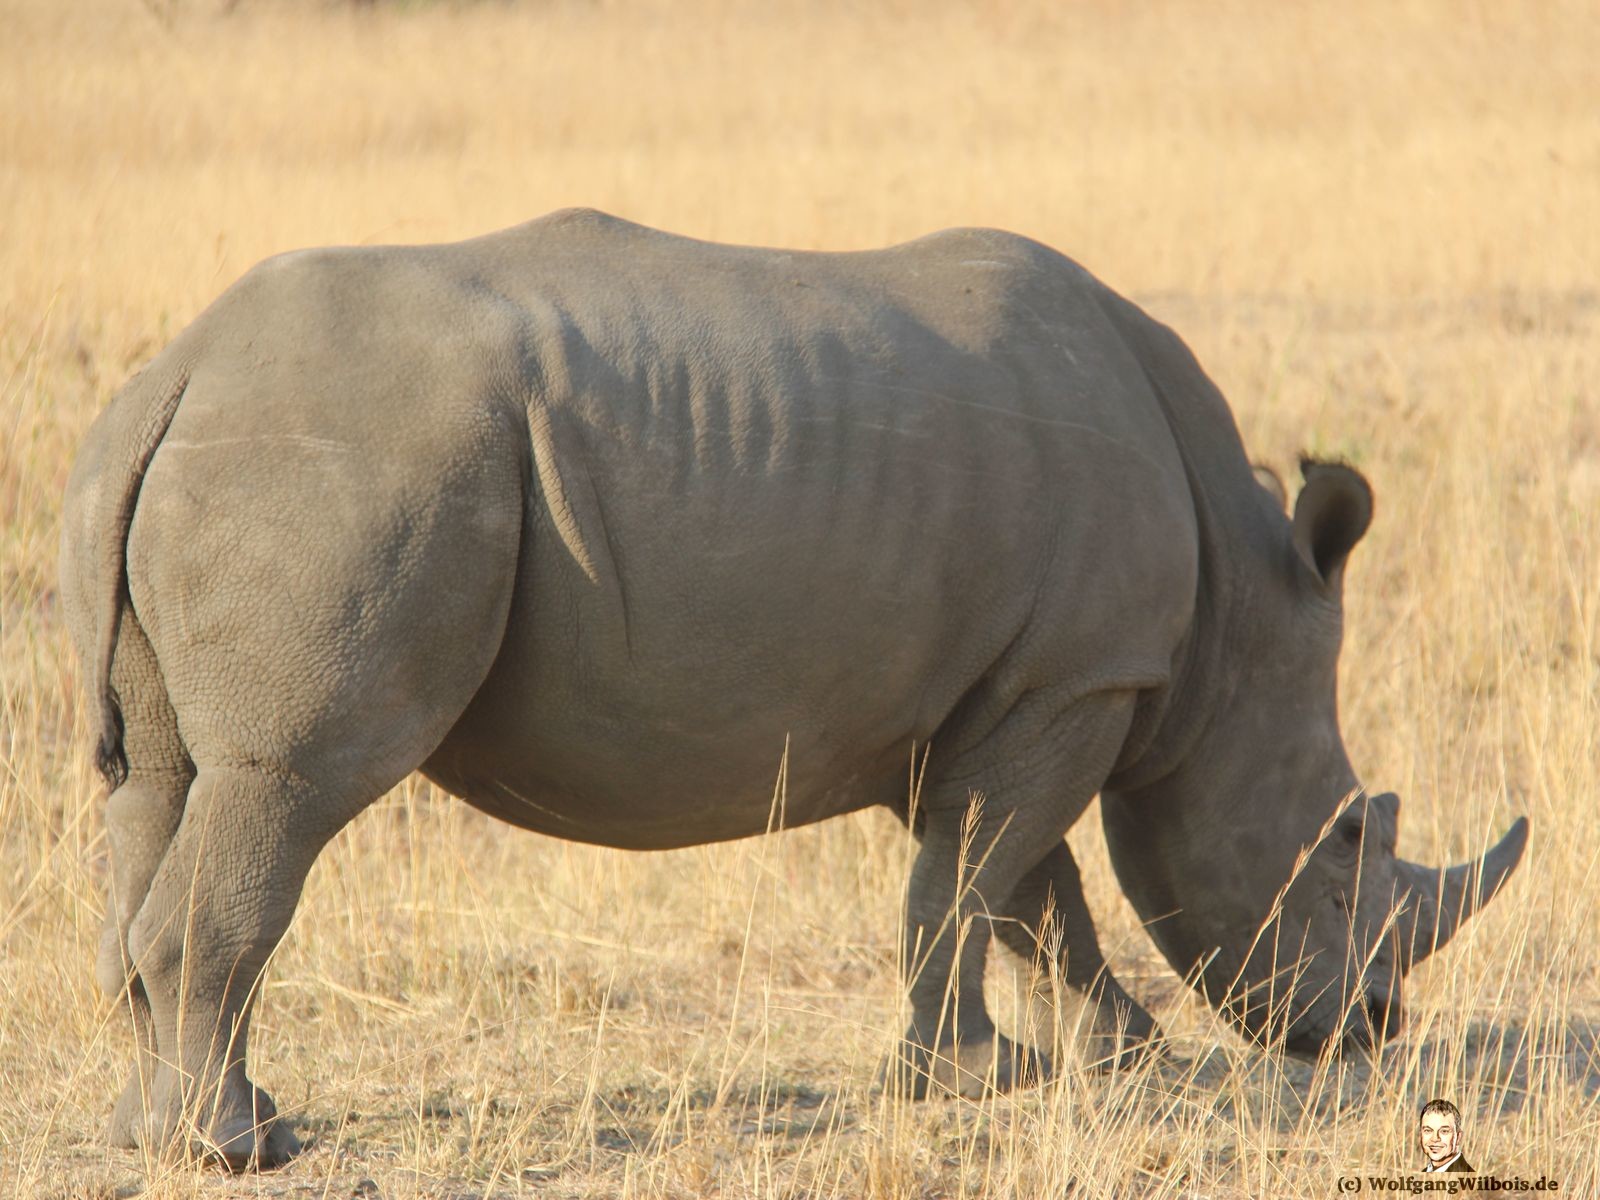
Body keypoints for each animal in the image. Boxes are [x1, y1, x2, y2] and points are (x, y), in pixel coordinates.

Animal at [59, 211, 1523, 1171]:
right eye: (1346, 844)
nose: (1371, 1030)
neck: (1233, 613)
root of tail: (176, 374)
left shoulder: (1001, 690)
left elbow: (1022, 889)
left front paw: (1120, 1065)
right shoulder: (1076, 679)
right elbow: (979, 877)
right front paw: (975, 1084)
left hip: (214, 466)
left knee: (165, 785)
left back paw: (172, 1132)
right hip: (336, 478)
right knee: (286, 789)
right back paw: (229, 1151)